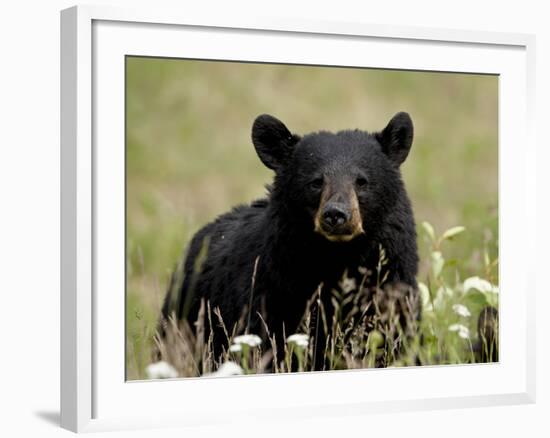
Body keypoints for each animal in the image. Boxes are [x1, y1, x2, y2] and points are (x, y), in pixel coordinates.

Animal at [157, 111, 420, 368]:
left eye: (362, 181)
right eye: (316, 182)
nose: (335, 214)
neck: (338, 259)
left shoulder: (394, 291)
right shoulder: (271, 296)